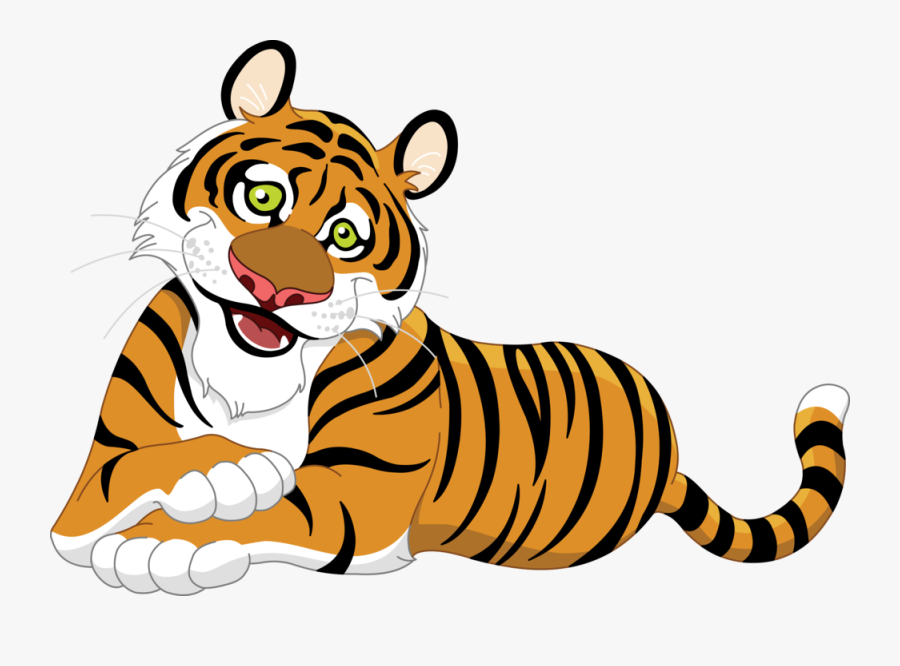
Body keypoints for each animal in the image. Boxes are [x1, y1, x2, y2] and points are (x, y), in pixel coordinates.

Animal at [51, 40, 849, 595]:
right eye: (264, 197)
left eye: (345, 235)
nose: (276, 288)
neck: (249, 385)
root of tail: (671, 456)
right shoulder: (91, 481)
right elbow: (122, 480)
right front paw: (222, 468)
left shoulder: (356, 496)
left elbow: (269, 510)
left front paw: (163, 541)